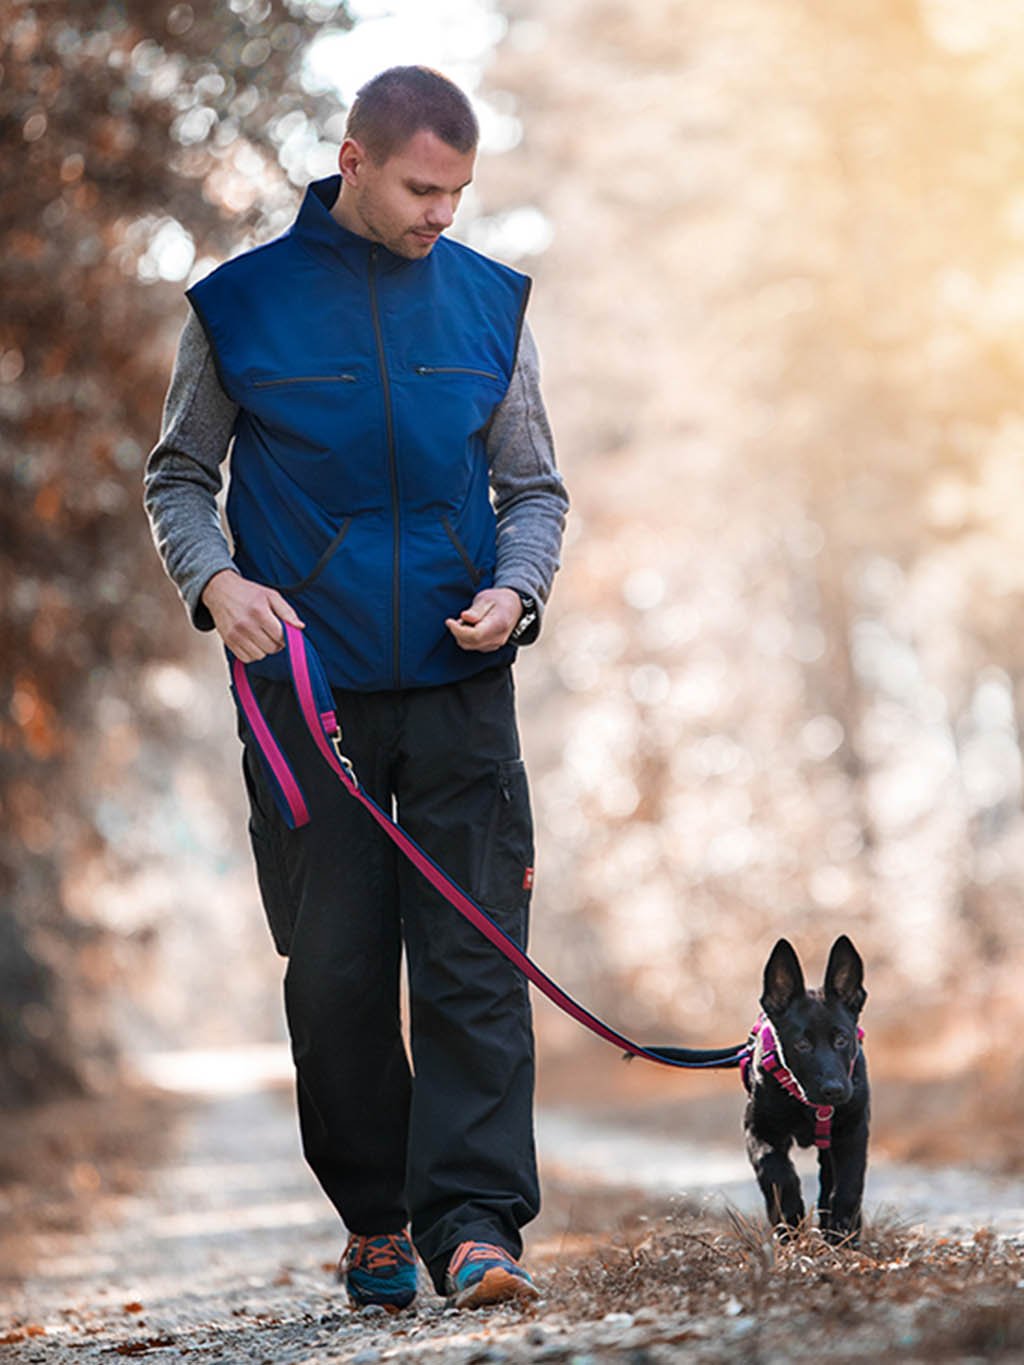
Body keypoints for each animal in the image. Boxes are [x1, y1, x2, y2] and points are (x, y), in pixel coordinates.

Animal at [748, 933, 873, 1244]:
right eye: (802, 1045)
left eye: (842, 1039)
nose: (834, 1090)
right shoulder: (759, 1130)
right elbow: (777, 1173)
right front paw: (789, 1221)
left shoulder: (853, 1131)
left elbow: (850, 1185)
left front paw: (843, 1233)